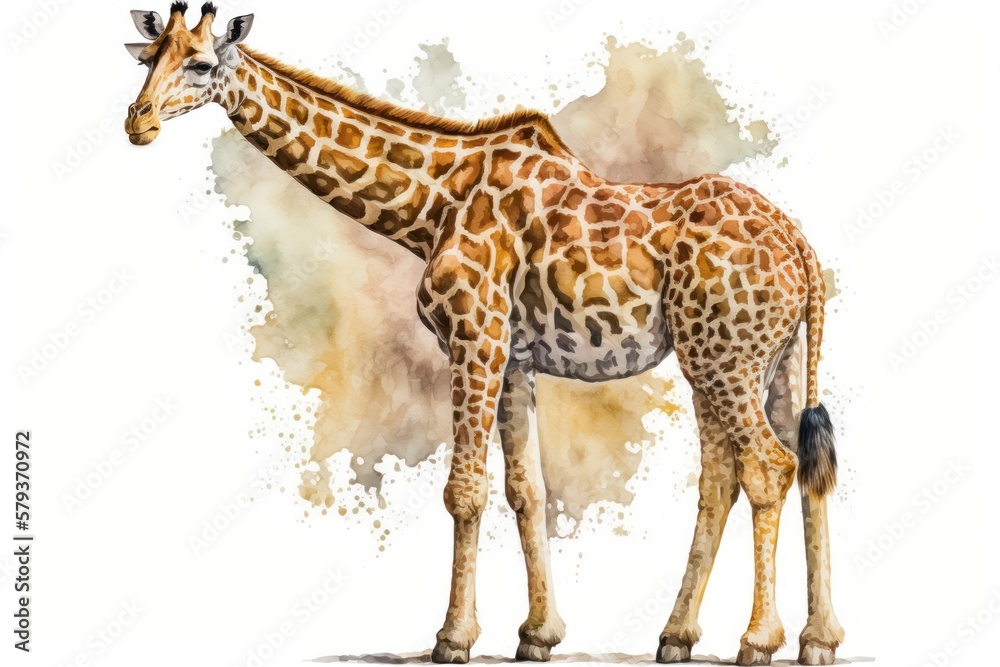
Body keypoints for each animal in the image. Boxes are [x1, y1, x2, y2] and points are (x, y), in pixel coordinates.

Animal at [124, 5, 845, 665]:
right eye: (147, 58)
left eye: (201, 64)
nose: (139, 121)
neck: (430, 205)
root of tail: (804, 249)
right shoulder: (515, 356)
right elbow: (528, 490)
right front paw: (537, 634)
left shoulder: (474, 336)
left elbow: (464, 491)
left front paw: (452, 637)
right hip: (761, 357)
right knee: (774, 472)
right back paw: (771, 639)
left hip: (725, 356)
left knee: (767, 466)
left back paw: (758, 639)